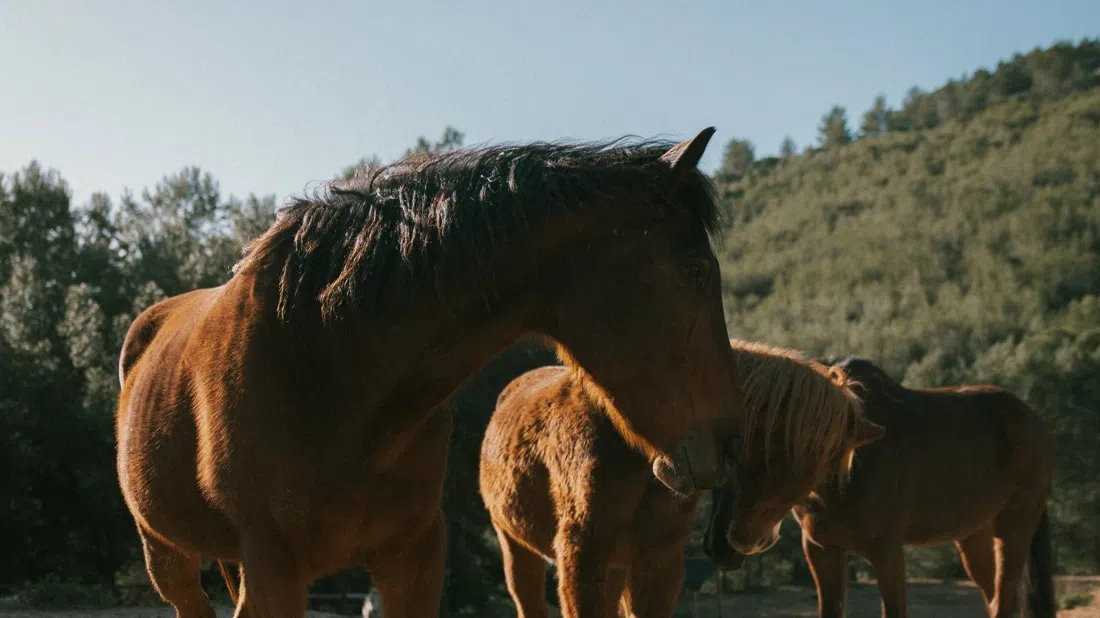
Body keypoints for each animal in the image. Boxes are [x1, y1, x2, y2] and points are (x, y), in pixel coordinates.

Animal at [115, 128, 750, 618]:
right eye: (694, 270)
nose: (728, 446)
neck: (330, 369)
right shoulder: (273, 572)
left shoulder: (413, 562)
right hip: (168, 558)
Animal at [479, 339, 884, 618]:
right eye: (766, 452)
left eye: (822, 470)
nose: (750, 543)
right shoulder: (582, 559)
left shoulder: (658, 563)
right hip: (517, 548)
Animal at [714, 355, 1056, 618]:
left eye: (781, 450)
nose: (731, 541)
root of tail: (1034, 421)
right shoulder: (822, 550)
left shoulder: (887, 552)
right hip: (973, 535)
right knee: (994, 598)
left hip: (1014, 528)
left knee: (1005, 601)